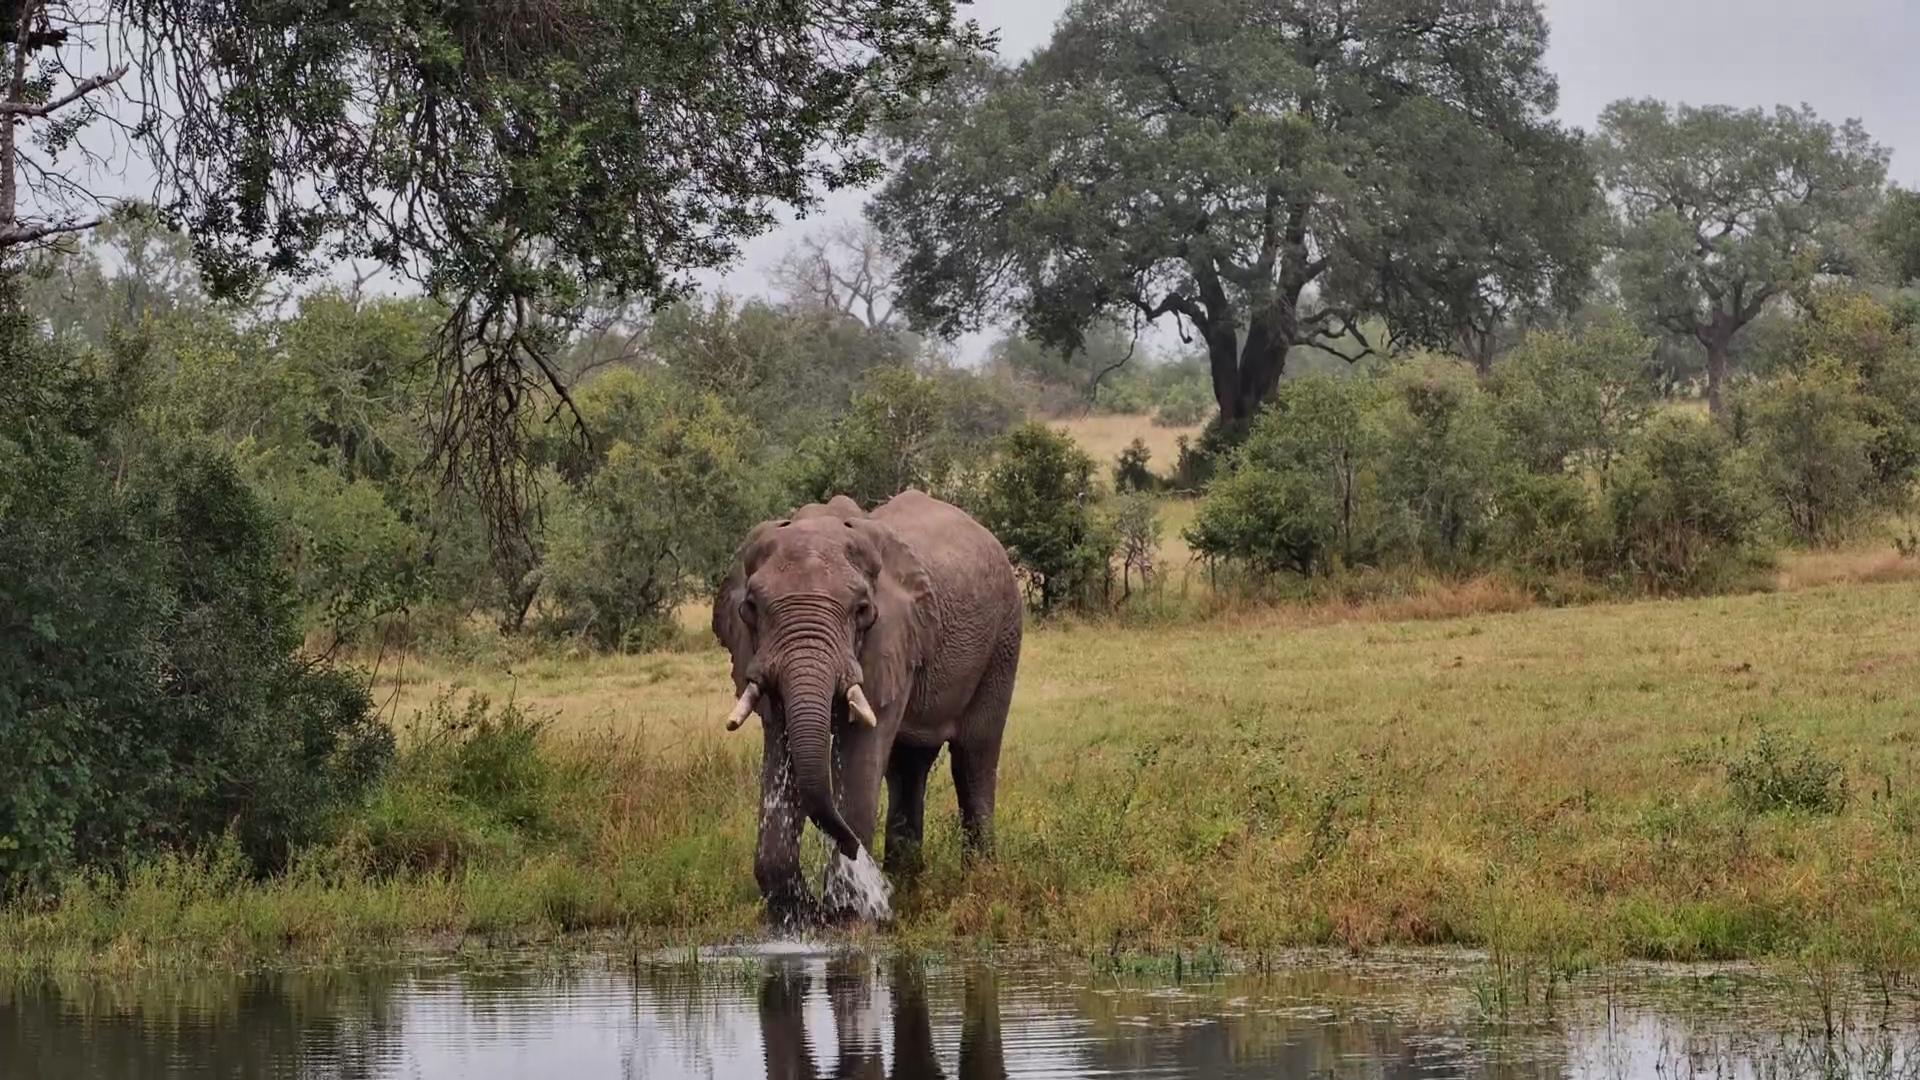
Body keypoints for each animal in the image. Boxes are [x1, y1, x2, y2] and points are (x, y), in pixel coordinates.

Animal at [712, 489, 1023, 923]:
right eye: (751, 608)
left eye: (861, 610)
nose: (818, 909)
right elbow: (781, 754)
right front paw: (799, 914)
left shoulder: (891, 640)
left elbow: (860, 757)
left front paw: (850, 913)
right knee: (908, 766)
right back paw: (906, 882)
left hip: (1004, 637)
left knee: (974, 756)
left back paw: (978, 878)